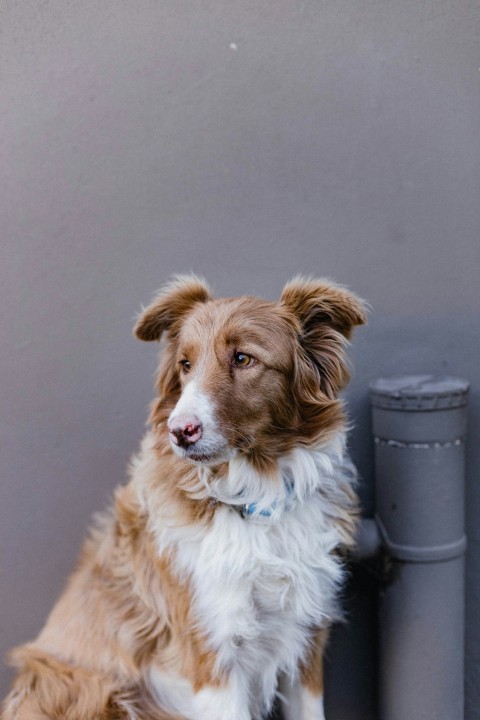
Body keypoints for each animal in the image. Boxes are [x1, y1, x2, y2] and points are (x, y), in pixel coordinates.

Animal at [3, 276, 366, 720]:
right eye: (185, 365)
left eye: (243, 358)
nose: (180, 431)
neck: (255, 498)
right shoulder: (211, 654)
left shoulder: (305, 641)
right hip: (96, 690)